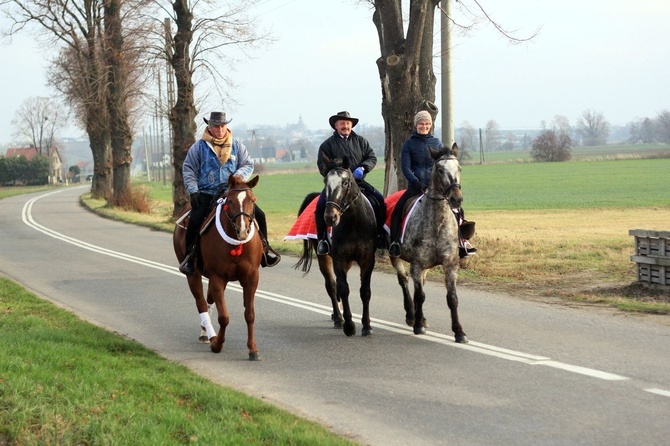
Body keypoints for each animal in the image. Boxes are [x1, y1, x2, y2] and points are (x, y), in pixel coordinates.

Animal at [173, 173, 266, 358]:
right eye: (230, 201)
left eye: (252, 200)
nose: (243, 230)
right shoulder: (218, 278)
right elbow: (224, 317)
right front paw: (217, 344)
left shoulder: (251, 278)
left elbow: (250, 314)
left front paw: (253, 349)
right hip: (193, 275)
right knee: (201, 303)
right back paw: (210, 335)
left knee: (209, 301)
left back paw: (204, 333)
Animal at [296, 155, 378, 336]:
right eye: (326, 181)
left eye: (346, 182)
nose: (330, 217)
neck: (354, 224)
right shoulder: (339, 258)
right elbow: (342, 288)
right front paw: (349, 325)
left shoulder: (367, 259)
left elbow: (365, 291)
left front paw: (367, 326)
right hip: (324, 257)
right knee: (331, 285)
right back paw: (339, 318)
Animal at [392, 145, 470, 344]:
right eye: (440, 169)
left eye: (459, 168)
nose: (456, 199)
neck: (437, 223)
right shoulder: (417, 263)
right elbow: (420, 295)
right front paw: (418, 325)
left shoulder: (450, 264)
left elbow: (452, 298)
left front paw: (459, 332)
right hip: (395, 257)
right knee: (404, 281)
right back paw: (412, 316)